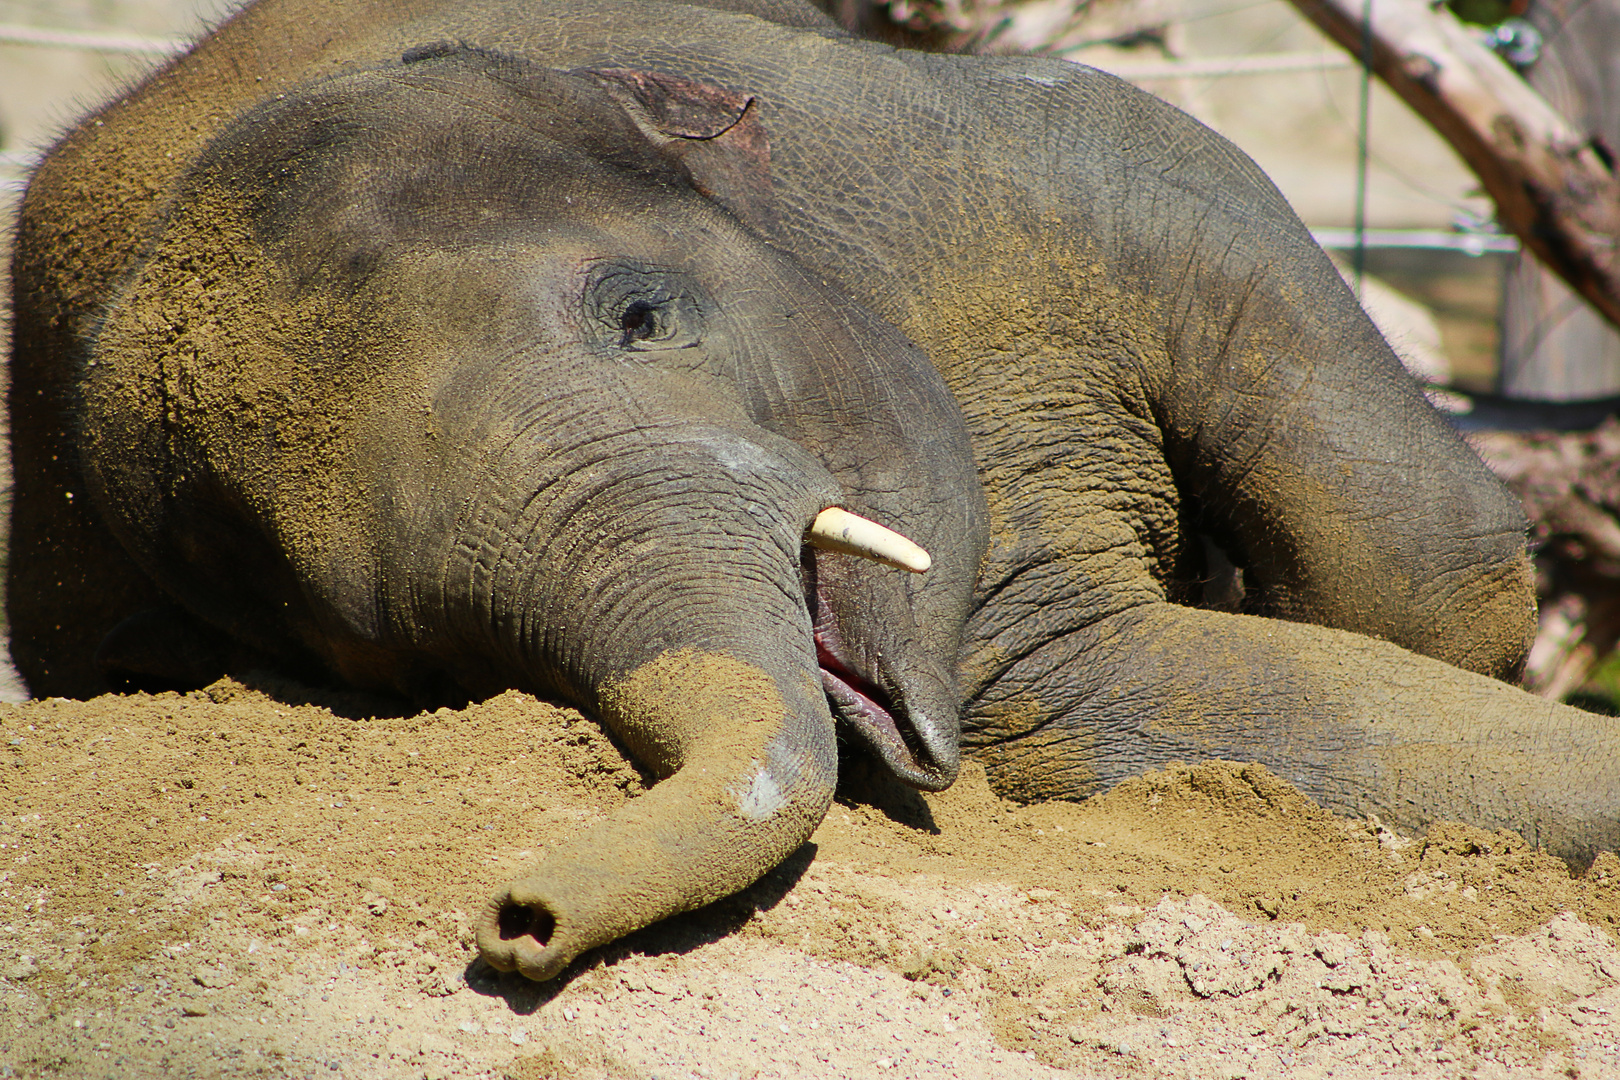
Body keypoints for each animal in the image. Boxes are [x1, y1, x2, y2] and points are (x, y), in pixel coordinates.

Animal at [12, 0, 1620, 984]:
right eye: (384, 651)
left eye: (641, 315)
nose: (520, 920)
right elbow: (1101, 692)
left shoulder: (1063, 174)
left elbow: (1439, 573)